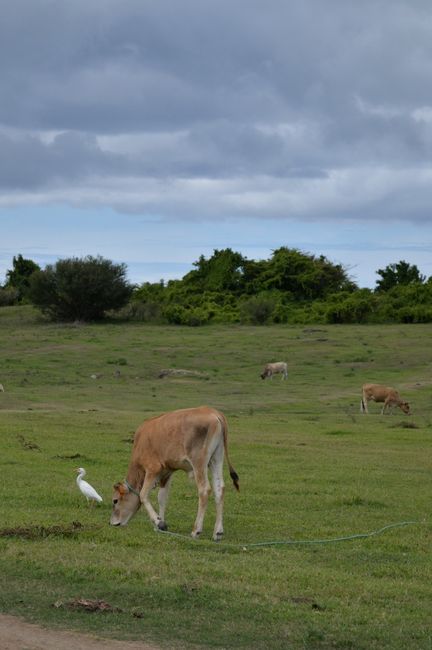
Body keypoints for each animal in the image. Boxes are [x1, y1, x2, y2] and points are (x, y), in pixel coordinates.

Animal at [109, 408, 240, 540]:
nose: (112, 523)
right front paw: (159, 524)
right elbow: (162, 497)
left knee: (204, 490)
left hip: (199, 462)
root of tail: (213, 411)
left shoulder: (152, 469)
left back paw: (196, 530)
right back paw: (218, 532)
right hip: (216, 459)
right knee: (219, 489)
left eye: (115, 501)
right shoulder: (167, 471)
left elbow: (143, 494)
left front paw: (158, 522)